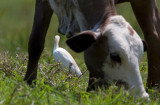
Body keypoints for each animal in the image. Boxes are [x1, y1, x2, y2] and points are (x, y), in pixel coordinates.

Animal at [23, 0, 160, 98]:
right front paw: (29, 83)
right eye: (114, 56)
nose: (141, 96)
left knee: (153, 37)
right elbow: (36, 42)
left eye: (140, 56)